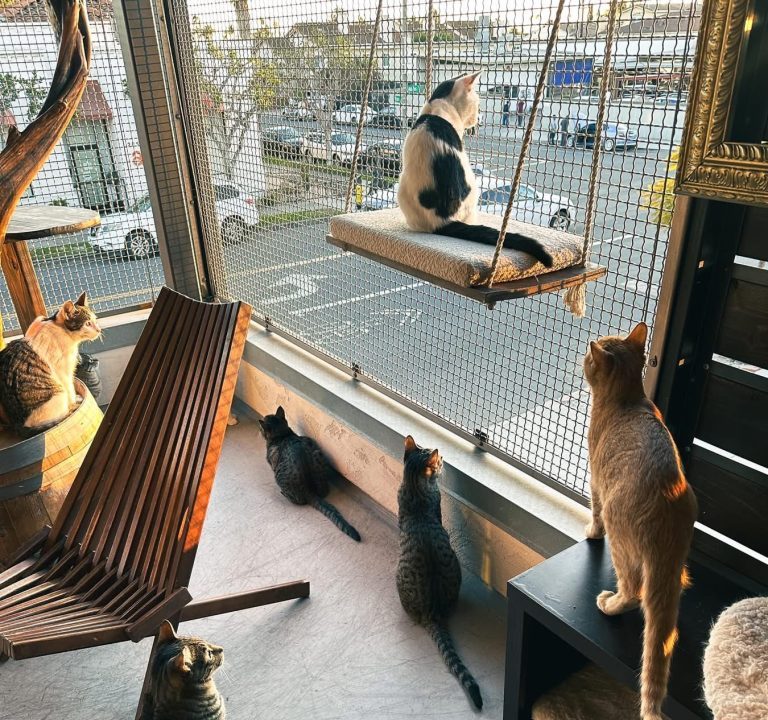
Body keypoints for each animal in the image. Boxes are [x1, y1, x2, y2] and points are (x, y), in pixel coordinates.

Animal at [0, 292, 100, 434]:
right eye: (87, 323)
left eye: (95, 320)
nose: (99, 330)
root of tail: (18, 425)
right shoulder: (63, 372)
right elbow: (70, 389)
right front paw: (75, 400)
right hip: (58, 393)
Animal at [259, 406, 361, 541]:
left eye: (261, 428)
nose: (259, 429)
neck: (283, 435)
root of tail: (310, 491)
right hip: (318, 454)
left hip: (280, 478)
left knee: (298, 501)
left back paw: (283, 494)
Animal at [584, 322, 698, 720]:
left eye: (587, 357)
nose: (581, 355)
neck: (629, 399)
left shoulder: (595, 480)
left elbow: (593, 512)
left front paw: (591, 532)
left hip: (620, 538)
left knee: (635, 591)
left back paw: (611, 603)